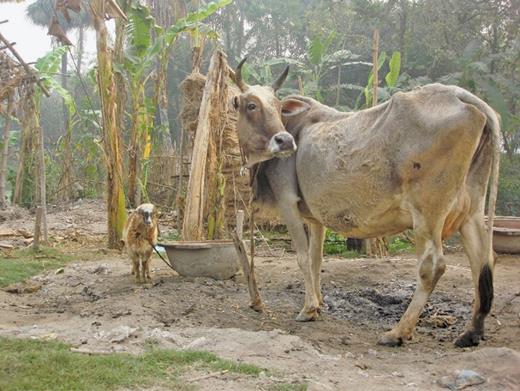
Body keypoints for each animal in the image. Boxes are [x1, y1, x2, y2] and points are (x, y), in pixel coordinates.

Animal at [232, 59, 500, 350]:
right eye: (251, 105)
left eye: (278, 105)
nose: (285, 142)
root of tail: (461, 95)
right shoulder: (315, 217)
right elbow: (316, 259)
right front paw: (319, 304)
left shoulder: (288, 204)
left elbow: (302, 257)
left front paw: (308, 309)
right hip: (471, 211)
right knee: (482, 259)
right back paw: (471, 332)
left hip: (427, 214)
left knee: (433, 266)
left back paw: (398, 332)